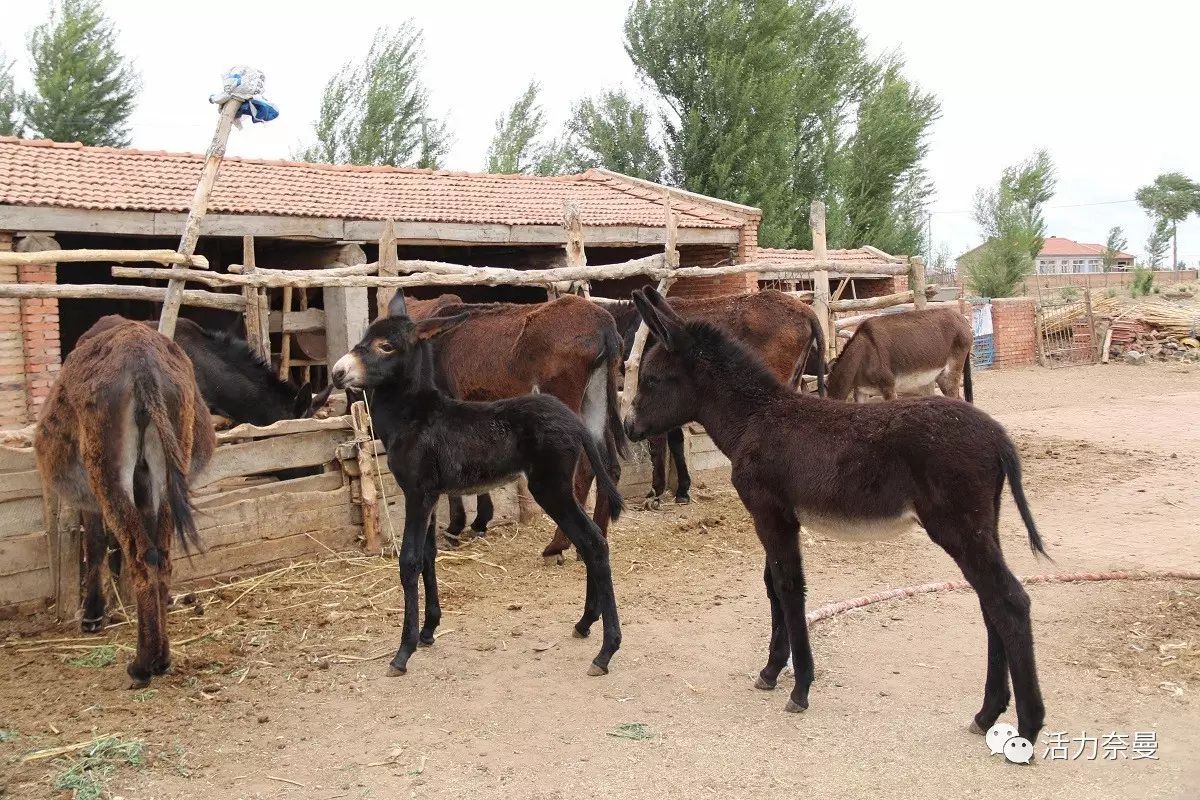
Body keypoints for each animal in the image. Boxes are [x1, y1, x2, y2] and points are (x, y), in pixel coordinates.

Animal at [35, 316, 213, 690]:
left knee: (141, 558)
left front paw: (93, 613)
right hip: (168, 467)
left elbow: (96, 544)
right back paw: (162, 657)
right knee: (161, 556)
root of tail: (142, 361)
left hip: (107, 472)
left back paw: (143, 665)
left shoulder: (91, 502)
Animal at [624, 289, 1046, 753]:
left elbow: (789, 588)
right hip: (982, 526)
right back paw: (988, 713)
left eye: (652, 380)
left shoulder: (770, 514)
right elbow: (772, 585)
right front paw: (772, 671)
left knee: (1009, 602)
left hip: (959, 528)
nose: (628, 428)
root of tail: (997, 435)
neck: (756, 419)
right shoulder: (778, 517)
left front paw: (800, 687)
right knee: (991, 603)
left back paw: (1027, 726)